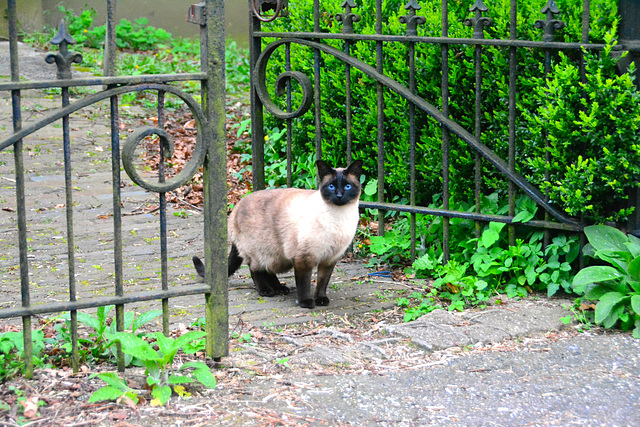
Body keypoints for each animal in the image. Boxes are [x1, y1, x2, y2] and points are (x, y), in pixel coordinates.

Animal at [192, 159, 362, 310]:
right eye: (331, 187)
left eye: (347, 186)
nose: (339, 196)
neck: (339, 217)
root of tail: (235, 209)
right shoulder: (304, 259)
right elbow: (304, 284)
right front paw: (306, 303)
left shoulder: (329, 259)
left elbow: (322, 283)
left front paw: (321, 300)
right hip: (263, 251)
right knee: (255, 269)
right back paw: (266, 291)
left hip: (278, 256)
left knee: (268, 270)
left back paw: (280, 288)